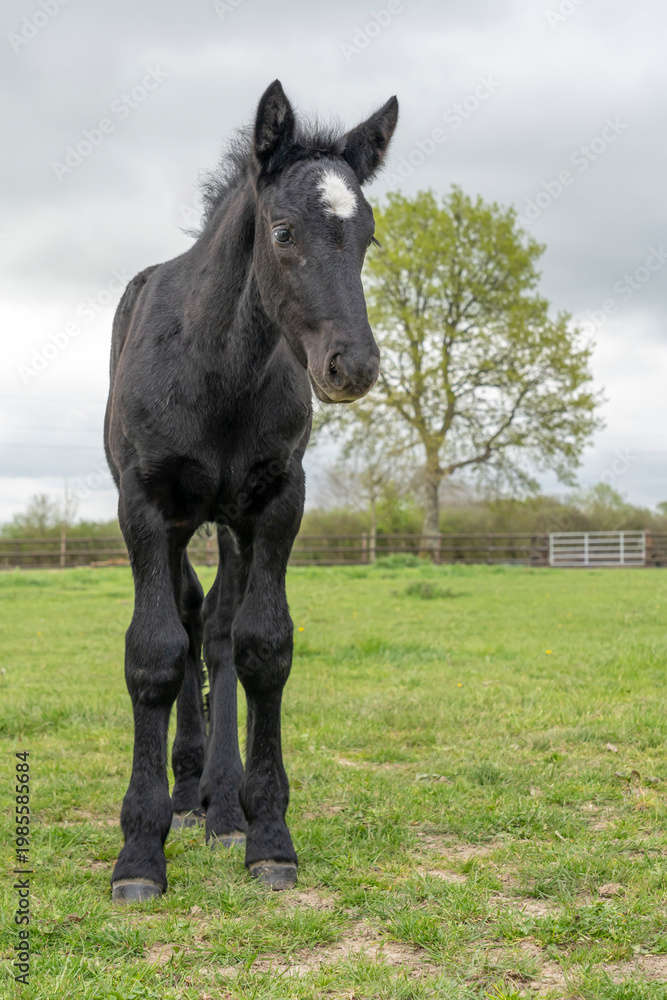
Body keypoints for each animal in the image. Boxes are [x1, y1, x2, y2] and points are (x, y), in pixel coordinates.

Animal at [104, 80, 398, 901]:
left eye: (366, 236)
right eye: (283, 230)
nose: (352, 366)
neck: (216, 369)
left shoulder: (274, 505)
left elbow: (262, 647)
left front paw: (266, 835)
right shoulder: (144, 507)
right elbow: (154, 653)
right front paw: (139, 853)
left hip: (231, 525)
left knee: (219, 632)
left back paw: (222, 807)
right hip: (178, 522)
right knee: (187, 619)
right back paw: (186, 792)